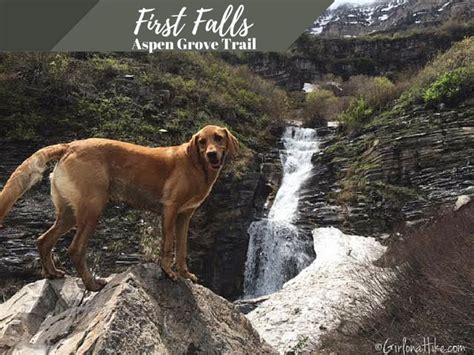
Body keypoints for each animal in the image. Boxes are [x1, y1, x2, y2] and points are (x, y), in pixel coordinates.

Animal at [0, 125, 237, 292]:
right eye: (202, 142)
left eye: (218, 138)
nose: (212, 154)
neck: (197, 166)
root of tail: (69, 146)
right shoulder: (170, 210)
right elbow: (168, 245)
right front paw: (168, 271)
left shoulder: (185, 216)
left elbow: (182, 249)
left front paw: (185, 274)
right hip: (92, 209)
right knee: (75, 249)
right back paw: (92, 285)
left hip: (69, 213)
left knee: (43, 240)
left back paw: (52, 274)